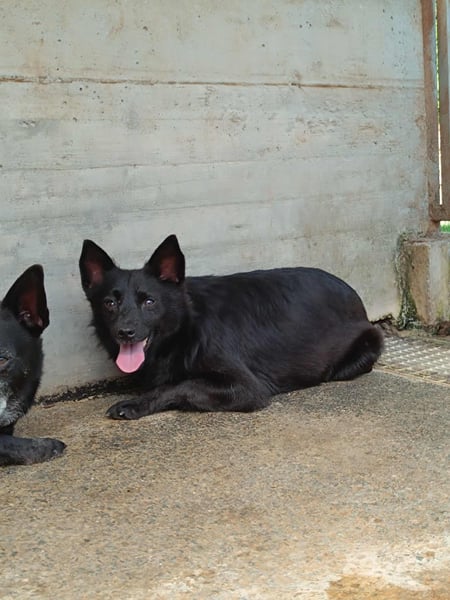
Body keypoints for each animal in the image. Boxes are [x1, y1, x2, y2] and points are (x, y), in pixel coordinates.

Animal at [80, 235, 383, 421]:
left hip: (369, 340)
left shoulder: (247, 388)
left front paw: (136, 403)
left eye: (149, 301)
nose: (125, 332)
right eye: (109, 303)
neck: (186, 327)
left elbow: (182, 385)